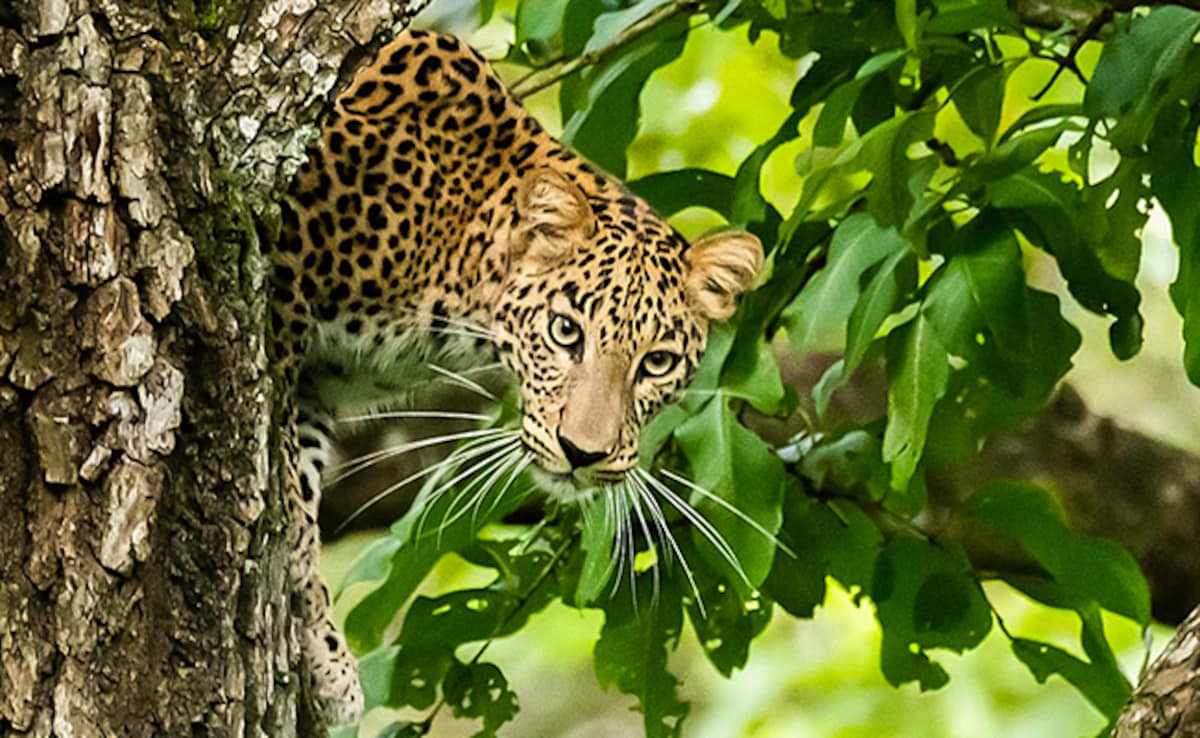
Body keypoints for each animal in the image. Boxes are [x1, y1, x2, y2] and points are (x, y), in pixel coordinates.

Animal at [269, 28, 763, 727]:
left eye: (657, 363)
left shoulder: (313, 384)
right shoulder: (284, 291)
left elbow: (300, 486)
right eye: (565, 332)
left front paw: (321, 653)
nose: (582, 453)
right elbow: (287, 494)